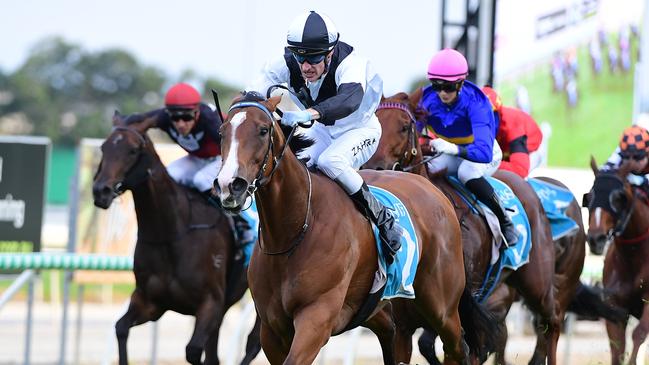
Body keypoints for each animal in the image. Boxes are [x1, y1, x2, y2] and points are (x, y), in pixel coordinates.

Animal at [92, 111, 260, 364]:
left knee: (254, 343)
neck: (171, 233)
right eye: (104, 147)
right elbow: (120, 328)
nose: (100, 191)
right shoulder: (150, 302)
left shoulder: (210, 304)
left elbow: (193, 350)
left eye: (132, 150)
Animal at [214, 92, 496, 362]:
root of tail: (434, 191)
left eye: (263, 130)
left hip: (442, 306)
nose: (230, 185)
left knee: (459, 347)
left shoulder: (316, 318)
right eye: (222, 131)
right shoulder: (272, 330)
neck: (293, 231)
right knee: (393, 336)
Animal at [364, 91, 572, 364]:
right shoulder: (403, 325)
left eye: (405, 126)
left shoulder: (454, 313)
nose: (373, 168)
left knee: (552, 322)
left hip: (537, 282)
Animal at [584, 157, 648, 364]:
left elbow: (639, 334)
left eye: (619, 198)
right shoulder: (615, 305)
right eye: (590, 196)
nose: (596, 238)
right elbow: (617, 348)